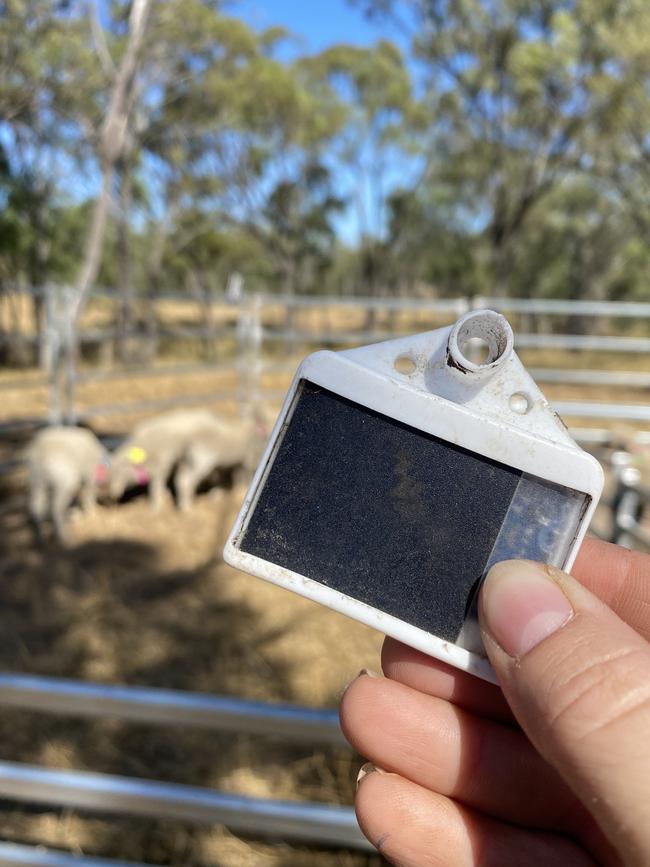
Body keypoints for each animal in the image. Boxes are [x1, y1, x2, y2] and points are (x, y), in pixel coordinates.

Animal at [109, 406, 270, 508]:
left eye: (121, 470)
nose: (110, 492)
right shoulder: (245, 459)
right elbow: (241, 476)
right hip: (200, 462)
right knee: (184, 480)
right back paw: (186, 507)